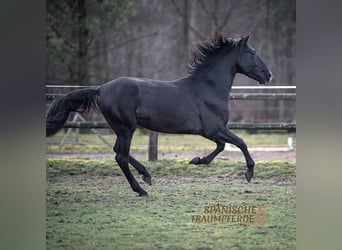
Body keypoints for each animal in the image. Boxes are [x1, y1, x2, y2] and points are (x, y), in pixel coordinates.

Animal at [46, 33, 272, 196]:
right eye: (252, 52)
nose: (269, 75)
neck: (209, 88)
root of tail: (101, 89)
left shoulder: (208, 131)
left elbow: (222, 146)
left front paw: (196, 160)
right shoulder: (214, 128)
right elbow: (240, 142)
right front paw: (249, 173)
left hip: (122, 129)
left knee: (119, 152)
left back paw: (146, 176)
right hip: (126, 128)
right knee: (121, 156)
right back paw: (141, 190)